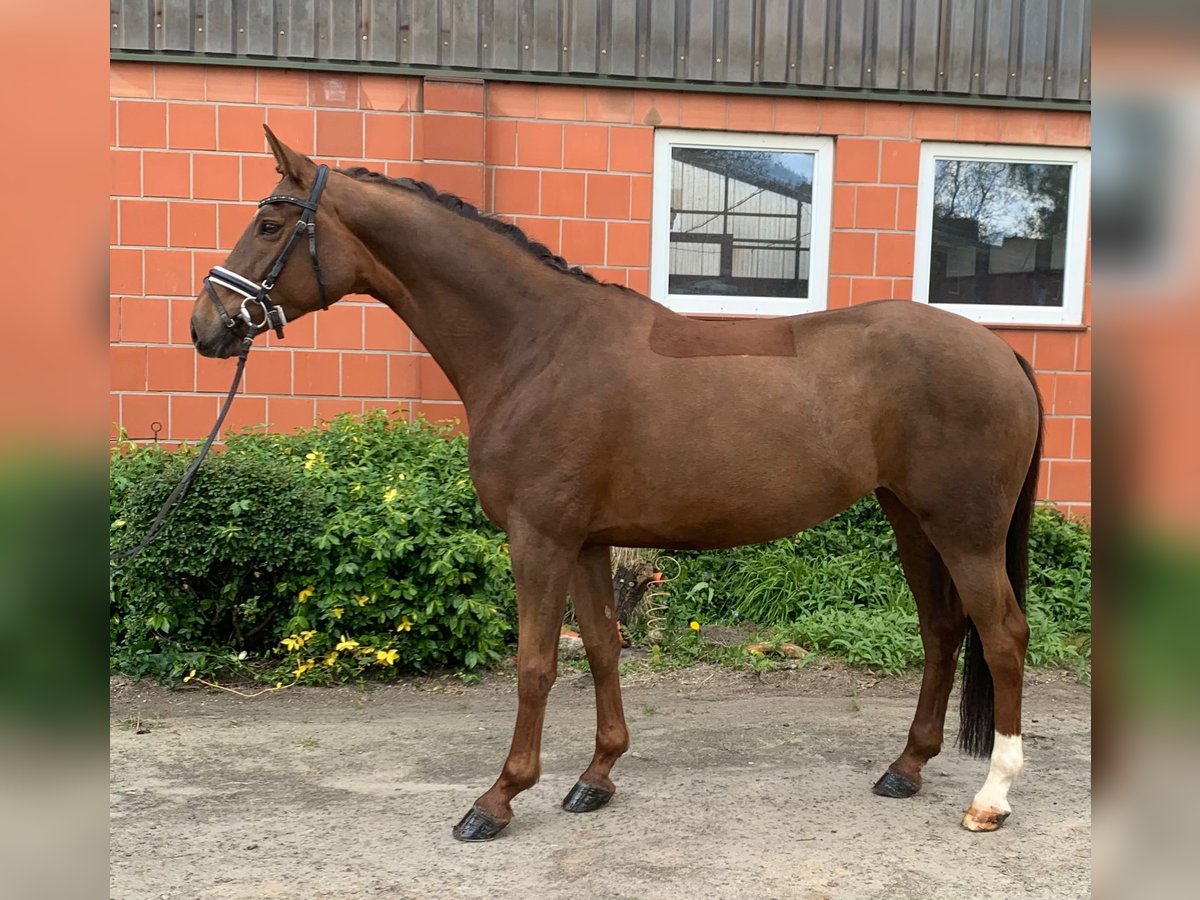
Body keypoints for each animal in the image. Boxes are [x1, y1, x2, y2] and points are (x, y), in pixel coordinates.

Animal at [189, 130, 1041, 844]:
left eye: (271, 224)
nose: (207, 326)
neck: (535, 346)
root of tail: (1000, 351)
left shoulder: (538, 539)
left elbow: (534, 665)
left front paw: (497, 799)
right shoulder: (588, 542)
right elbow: (602, 647)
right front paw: (595, 778)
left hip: (963, 528)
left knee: (1001, 633)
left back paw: (992, 796)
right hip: (911, 518)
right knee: (942, 630)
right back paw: (906, 768)